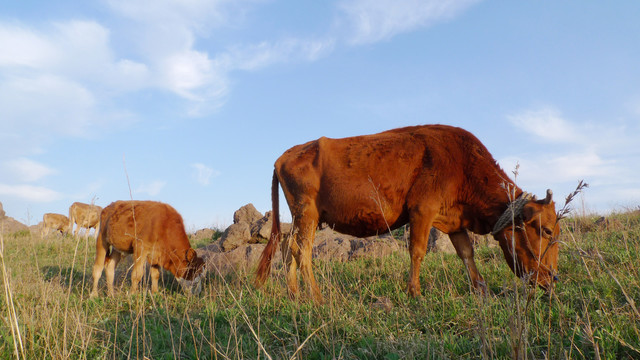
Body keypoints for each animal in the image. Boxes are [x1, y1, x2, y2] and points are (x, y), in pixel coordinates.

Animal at [255, 125, 560, 302]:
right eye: (546, 230)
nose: (553, 280)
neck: (462, 164)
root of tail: (285, 155)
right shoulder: (422, 211)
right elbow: (418, 251)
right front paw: (415, 292)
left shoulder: (454, 221)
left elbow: (466, 253)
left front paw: (480, 288)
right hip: (307, 213)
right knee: (301, 250)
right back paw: (317, 297)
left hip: (301, 218)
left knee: (287, 246)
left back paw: (294, 295)